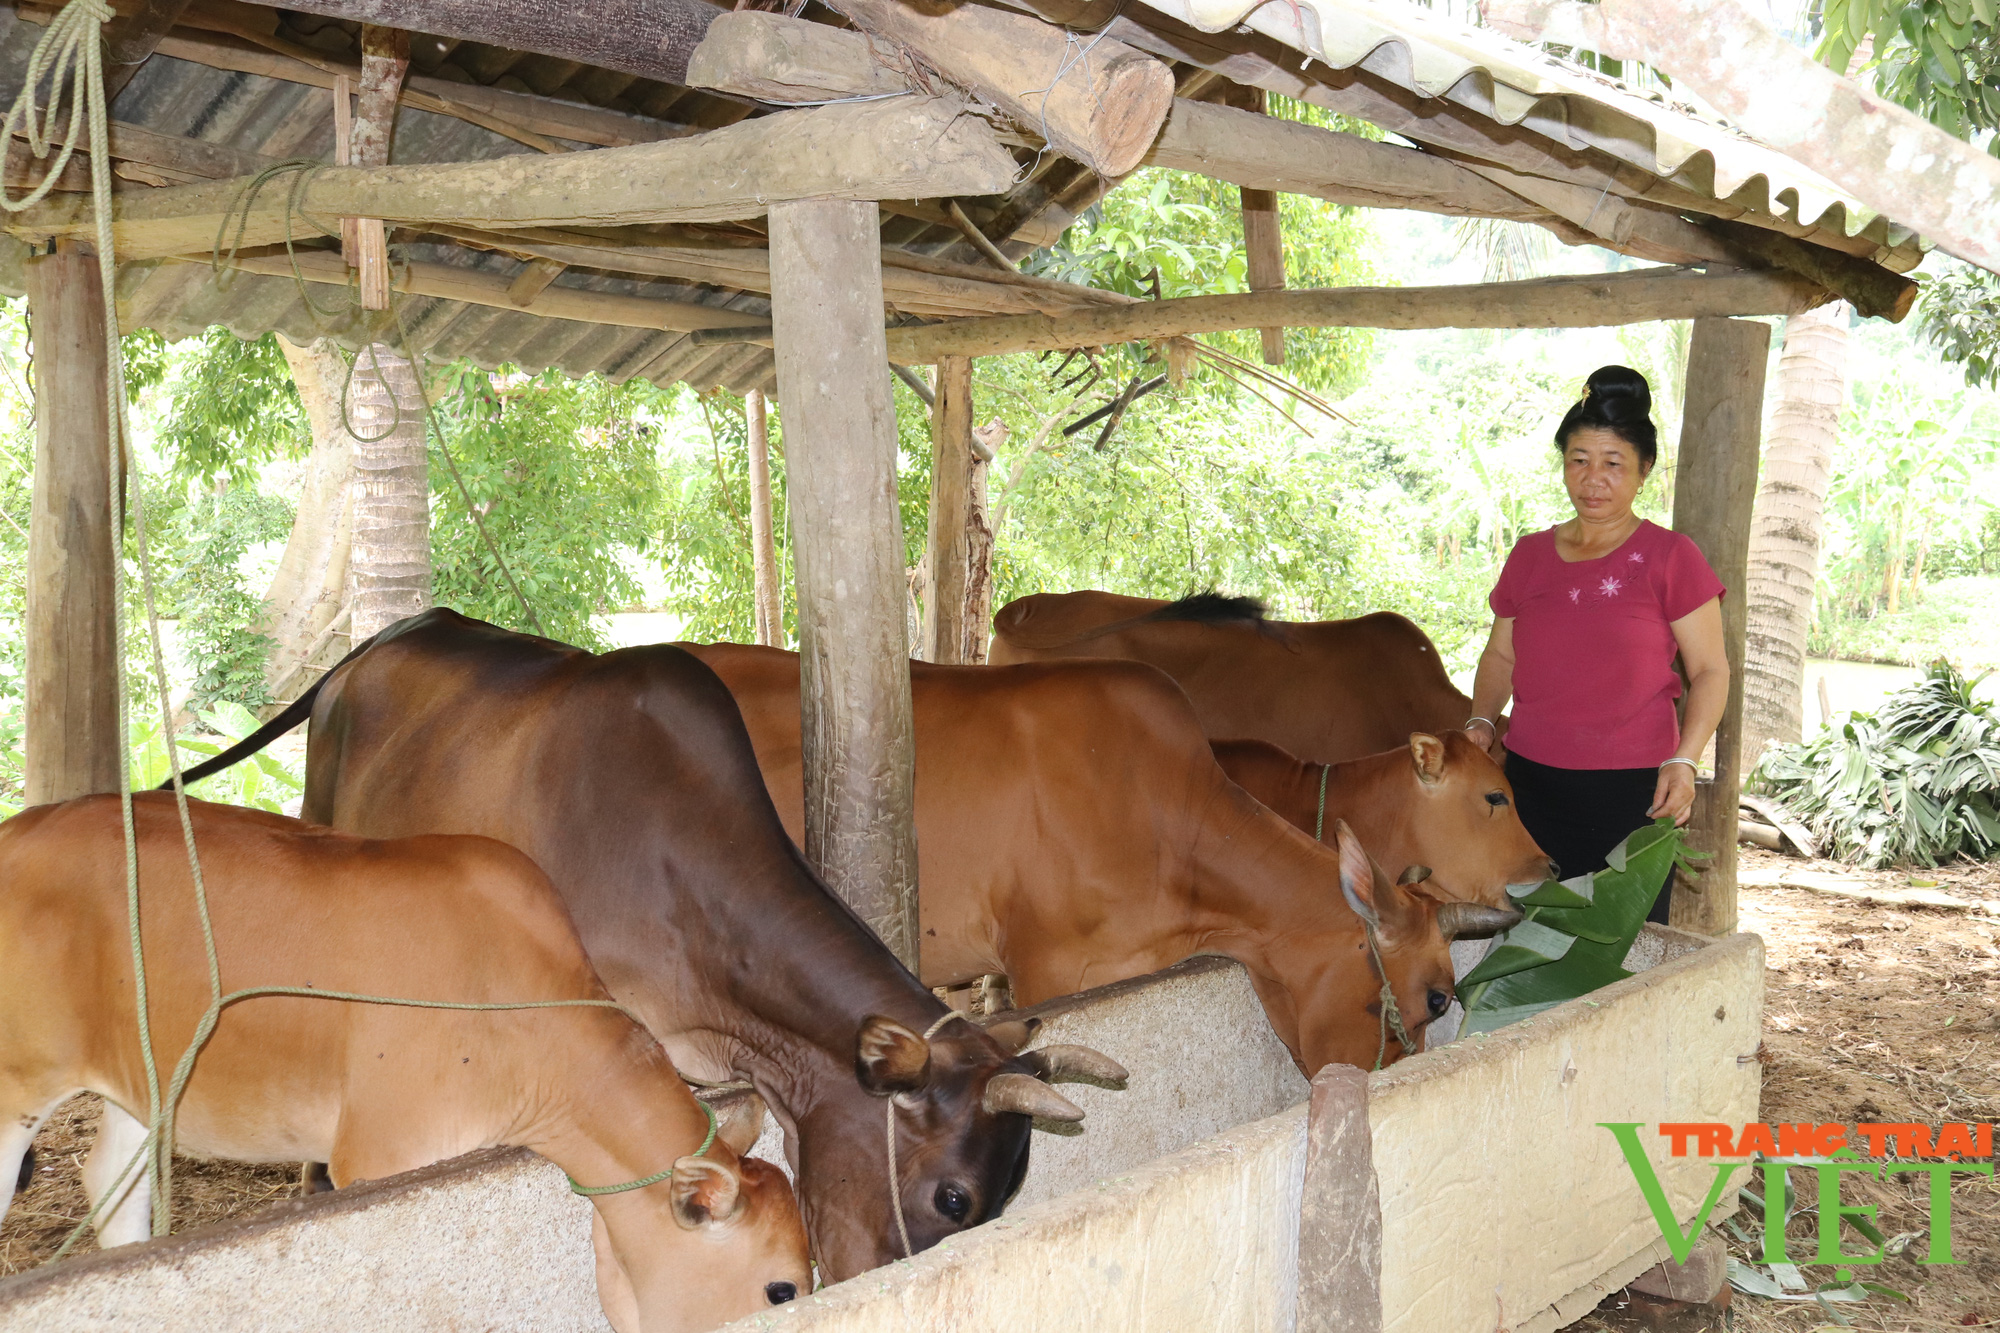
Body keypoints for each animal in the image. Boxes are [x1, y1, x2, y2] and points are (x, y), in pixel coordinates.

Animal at [3, 788, 812, 1328]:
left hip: (141, 1082)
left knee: (110, 1182)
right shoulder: (379, 1158)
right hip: (17, 1082)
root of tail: (17, 830)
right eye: (782, 1290)